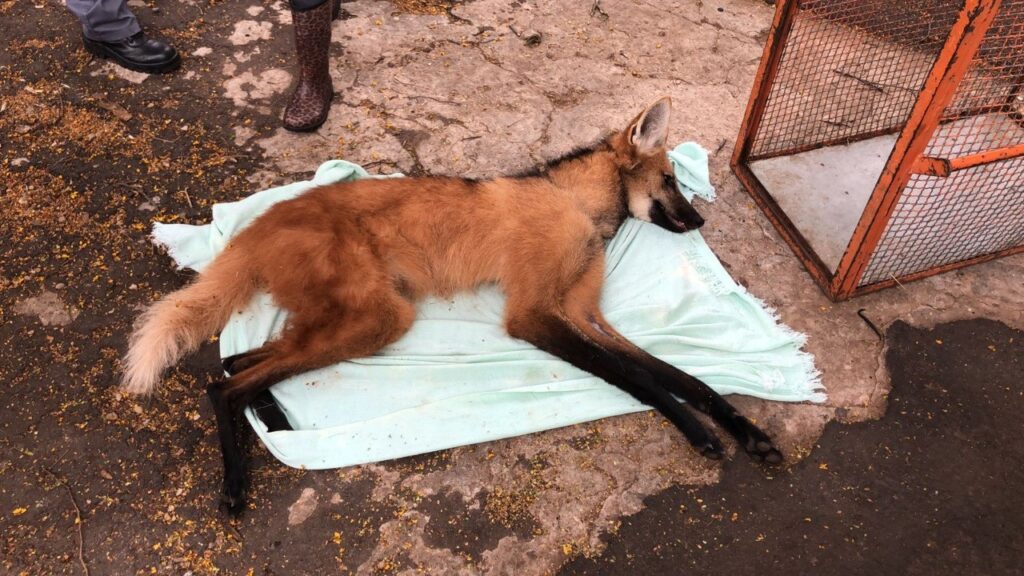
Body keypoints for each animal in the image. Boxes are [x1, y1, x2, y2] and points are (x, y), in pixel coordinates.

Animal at [128, 97, 782, 510]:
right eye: (672, 181)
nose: (701, 221)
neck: (578, 207)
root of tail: (260, 222)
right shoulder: (535, 315)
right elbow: (640, 379)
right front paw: (699, 434)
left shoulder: (586, 314)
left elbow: (684, 377)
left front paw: (746, 431)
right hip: (383, 317)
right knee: (223, 383)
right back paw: (236, 481)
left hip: (355, 315)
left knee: (239, 362)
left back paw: (274, 415)